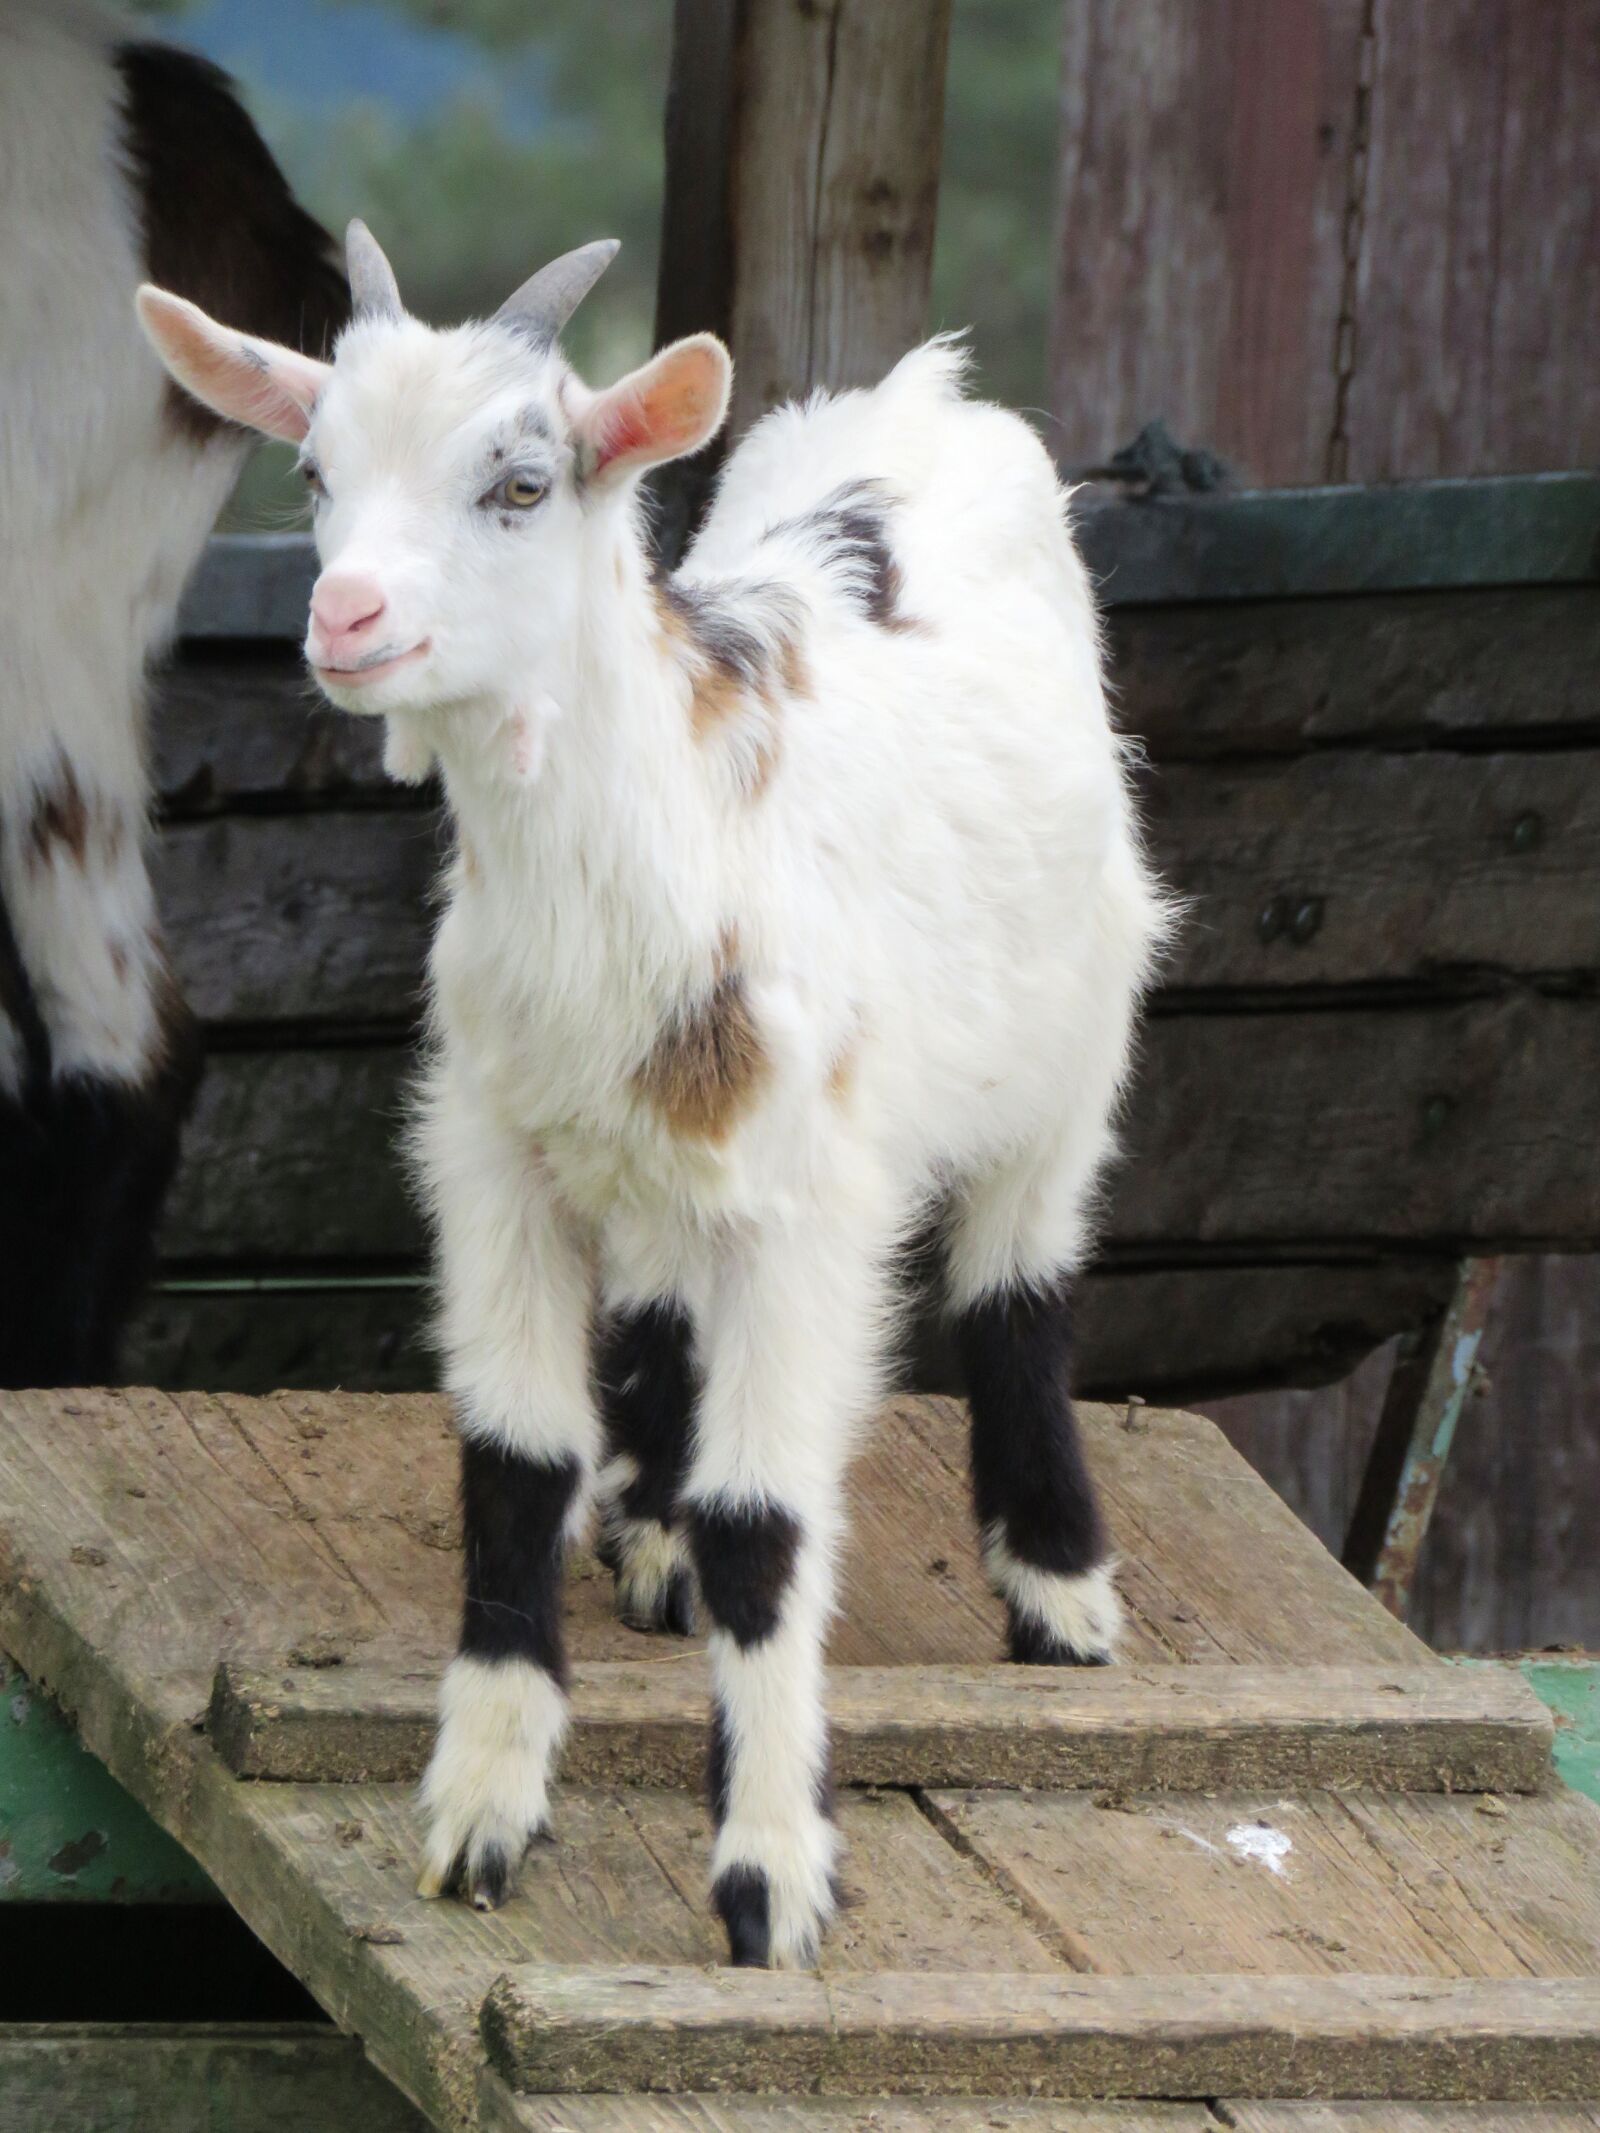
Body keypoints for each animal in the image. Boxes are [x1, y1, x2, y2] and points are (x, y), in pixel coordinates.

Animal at [137, 222, 1172, 1969]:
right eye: (314, 468)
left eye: (520, 482)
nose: (345, 614)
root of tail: (924, 395)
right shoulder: (493, 1155)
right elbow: (510, 1462)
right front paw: (480, 1814)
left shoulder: (814, 1203)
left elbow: (774, 1519)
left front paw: (770, 1881)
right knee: (675, 1305)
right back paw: (658, 1537)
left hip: (1079, 1027)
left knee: (1020, 1276)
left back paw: (1057, 1587)